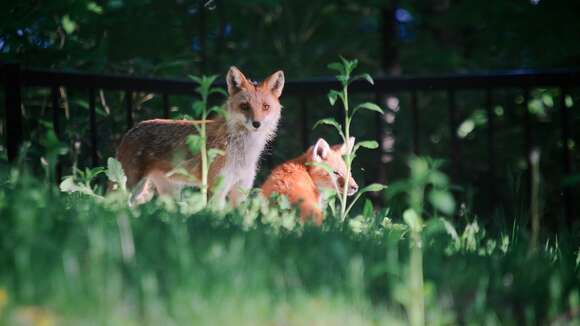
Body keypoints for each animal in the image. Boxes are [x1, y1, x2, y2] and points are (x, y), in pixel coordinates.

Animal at [114, 66, 284, 204]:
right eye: (244, 106)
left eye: (266, 107)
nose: (257, 124)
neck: (242, 153)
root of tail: (131, 130)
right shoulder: (216, 189)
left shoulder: (241, 190)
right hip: (129, 188)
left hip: (165, 194)